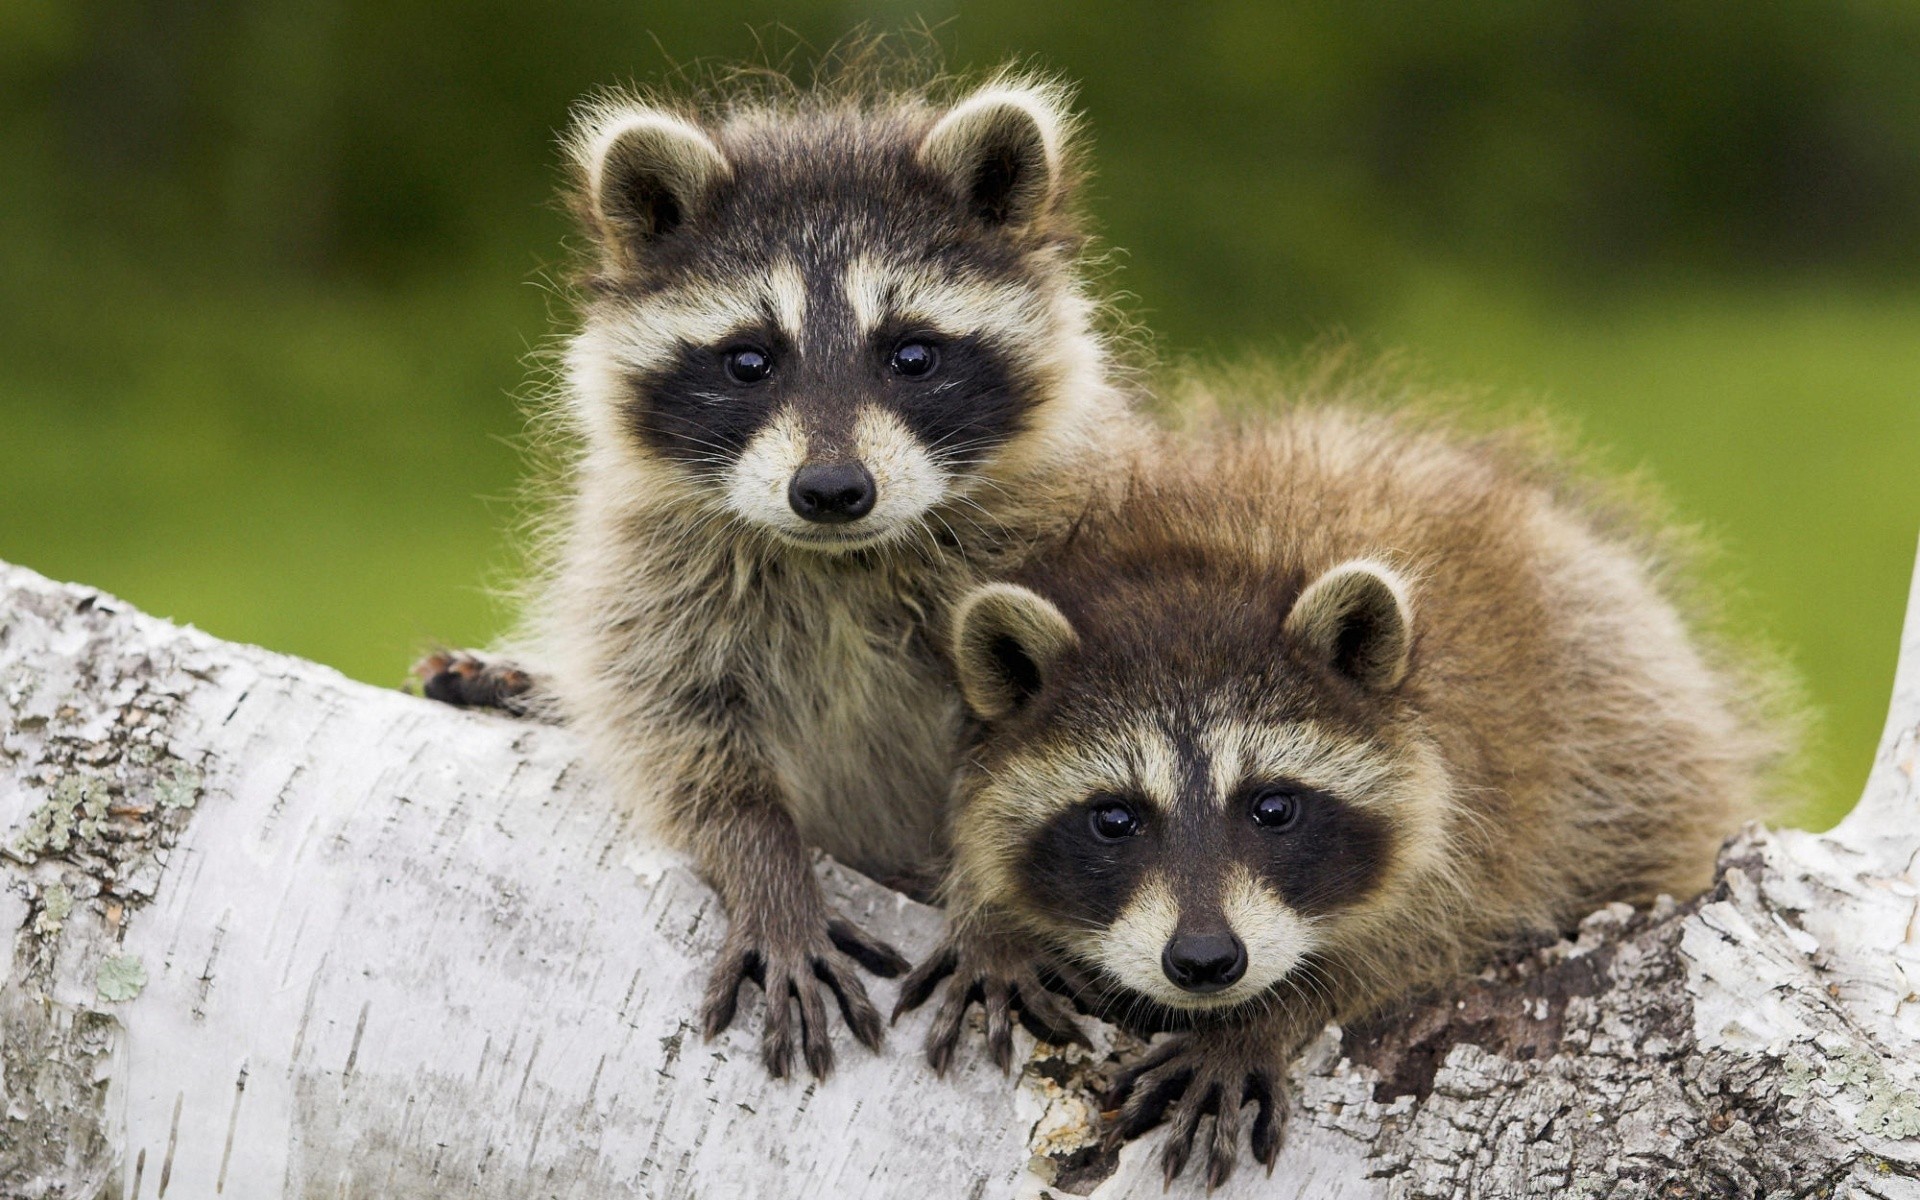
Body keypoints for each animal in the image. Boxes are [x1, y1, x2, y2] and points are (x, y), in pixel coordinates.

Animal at [422, 74, 1144, 1082]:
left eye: (911, 354)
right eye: (749, 360)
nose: (833, 490)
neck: (839, 559)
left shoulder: (1064, 542)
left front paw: (995, 917)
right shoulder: (650, 565)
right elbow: (677, 731)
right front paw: (765, 868)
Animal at [898, 399, 1781, 1182]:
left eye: (1273, 807)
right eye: (1113, 819)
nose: (1206, 961)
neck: (1199, 562)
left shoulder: (1491, 797)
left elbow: (1428, 933)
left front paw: (1271, 1014)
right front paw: (990, 918)